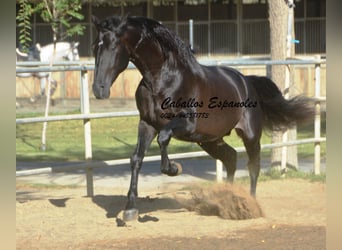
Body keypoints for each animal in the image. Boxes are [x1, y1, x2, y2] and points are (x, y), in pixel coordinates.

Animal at [91, 15, 312, 221]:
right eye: (95, 47)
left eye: (113, 46)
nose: (98, 89)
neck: (164, 80)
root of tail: (247, 82)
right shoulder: (147, 124)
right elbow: (136, 158)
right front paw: (130, 210)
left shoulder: (187, 123)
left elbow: (163, 138)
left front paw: (174, 168)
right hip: (210, 140)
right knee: (231, 158)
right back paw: (228, 200)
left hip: (249, 136)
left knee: (253, 166)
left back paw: (250, 206)